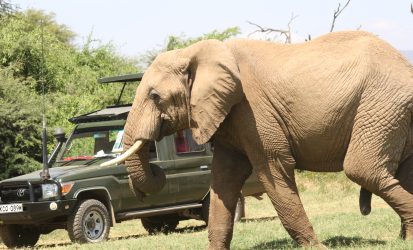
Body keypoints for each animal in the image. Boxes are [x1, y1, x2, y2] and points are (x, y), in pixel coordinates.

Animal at [102, 30, 412, 248]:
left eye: (155, 97)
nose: (157, 171)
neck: (197, 52)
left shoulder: (254, 111)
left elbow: (273, 169)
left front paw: (317, 248)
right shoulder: (231, 118)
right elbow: (223, 179)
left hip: (380, 104)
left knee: (363, 169)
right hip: (392, 113)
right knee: (402, 171)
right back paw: (405, 240)